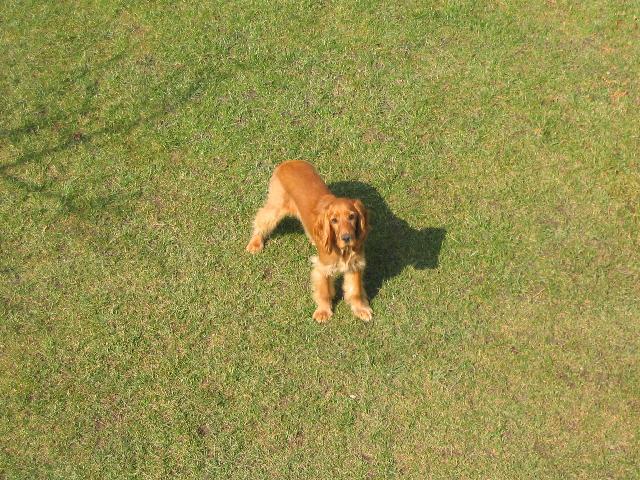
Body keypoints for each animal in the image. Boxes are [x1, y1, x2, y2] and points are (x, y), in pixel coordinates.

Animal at [248, 161, 372, 322]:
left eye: (352, 216)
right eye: (334, 220)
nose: (347, 238)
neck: (342, 250)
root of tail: (288, 162)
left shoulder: (355, 264)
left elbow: (355, 290)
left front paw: (361, 309)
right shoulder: (322, 268)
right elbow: (324, 291)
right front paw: (323, 312)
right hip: (276, 205)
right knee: (261, 219)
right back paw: (255, 243)